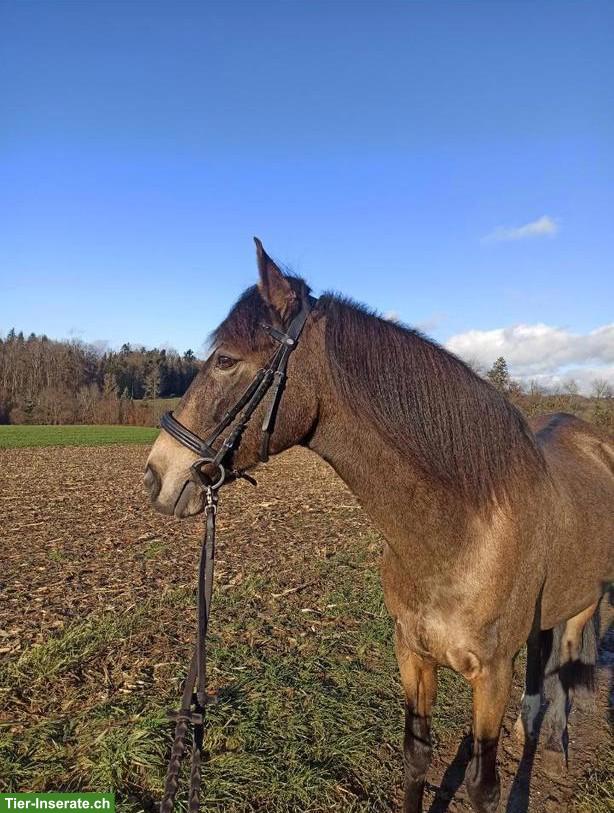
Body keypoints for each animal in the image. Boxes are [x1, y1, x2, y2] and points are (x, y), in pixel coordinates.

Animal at [144, 239, 613, 812]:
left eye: (227, 360)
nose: (156, 474)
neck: (458, 536)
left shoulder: (491, 676)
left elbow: (483, 786)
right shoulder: (412, 654)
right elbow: (416, 755)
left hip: (585, 603)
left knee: (565, 666)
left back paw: (555, 747)